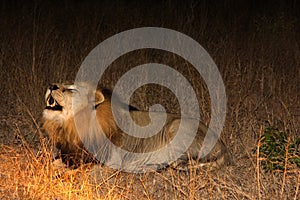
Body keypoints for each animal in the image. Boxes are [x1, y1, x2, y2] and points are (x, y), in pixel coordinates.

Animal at [42, 83, 230, 172]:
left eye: (72, 89)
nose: (51, 85)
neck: (70, 125)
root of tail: (223, 146)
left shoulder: (107, 160)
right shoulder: (70, 153)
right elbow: (52, 162)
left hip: (175, 127)